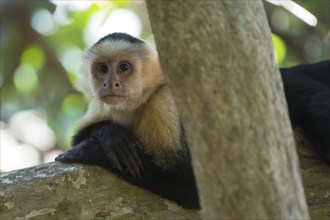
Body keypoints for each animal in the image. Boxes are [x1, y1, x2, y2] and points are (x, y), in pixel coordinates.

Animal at [55, 31, 328, 209]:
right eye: (102, 69)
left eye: (123, 67)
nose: (110, 83)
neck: (141, 101)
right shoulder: (104, 104)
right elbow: (82, 134)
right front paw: (109, 136)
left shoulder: (163, 103)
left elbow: (194, 187)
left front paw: (95, 152)